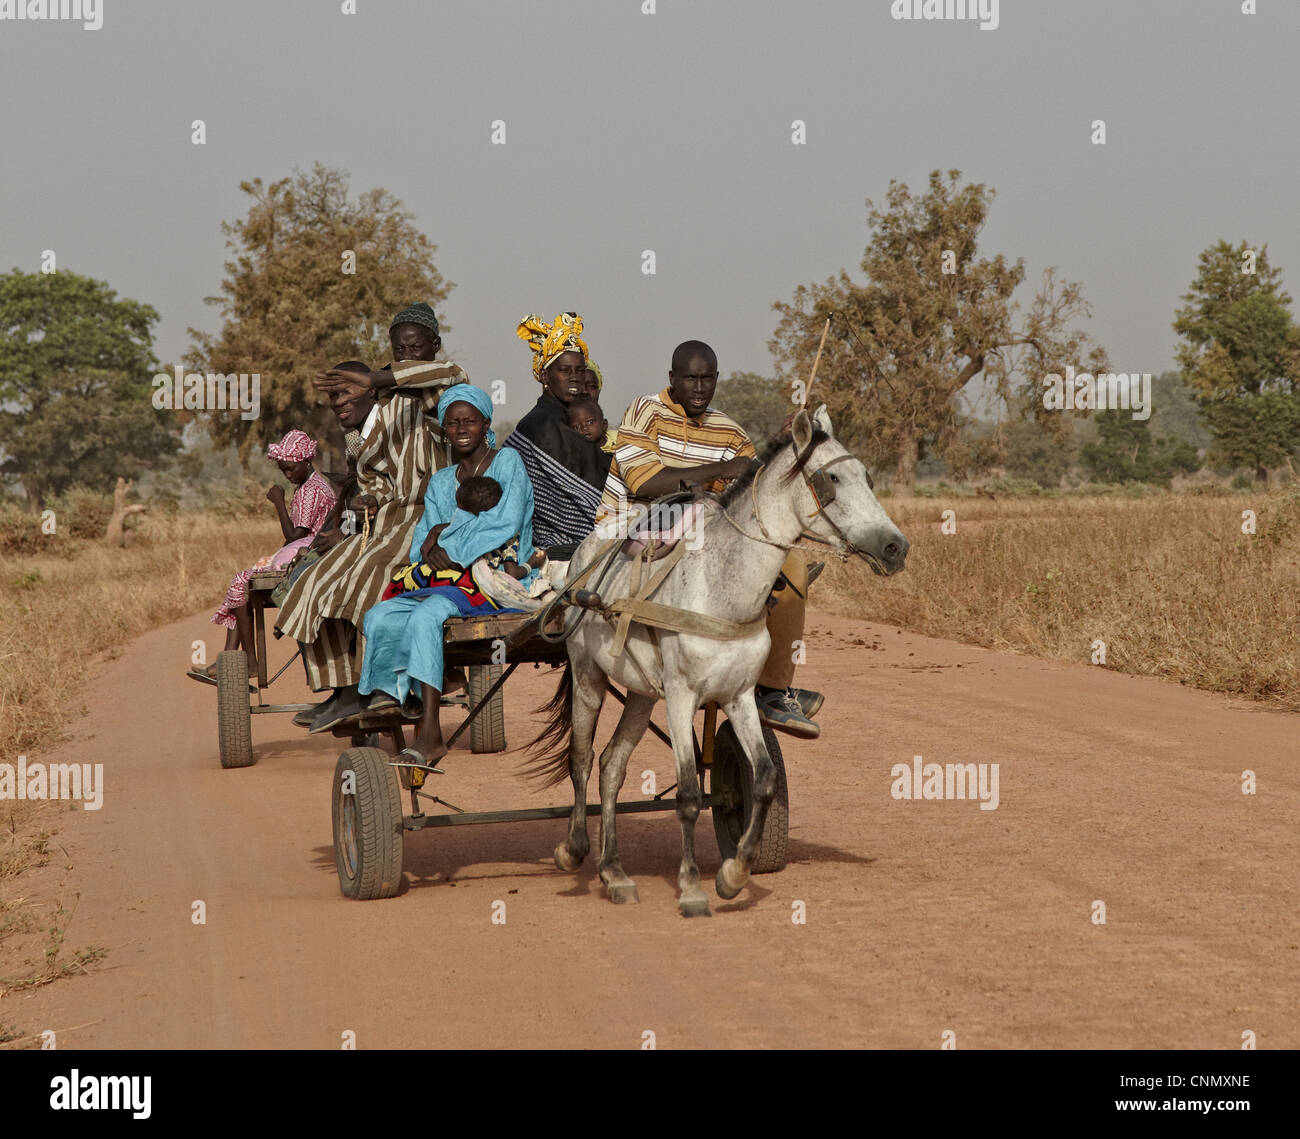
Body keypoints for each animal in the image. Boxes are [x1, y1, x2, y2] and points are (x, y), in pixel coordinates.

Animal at [525, 408, 904, 915]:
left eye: (867, 476)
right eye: (832, 479)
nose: (896, 548)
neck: (722, 590)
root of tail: (581, 559)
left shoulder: (738, 695)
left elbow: (763, 779)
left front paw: (734, 872)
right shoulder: (682, 697)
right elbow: (687, 794)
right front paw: (690, 887)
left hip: (643, 694)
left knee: (611, 765)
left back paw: (614, 872)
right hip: (589, 677)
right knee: (582, 759)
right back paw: (574, 850)